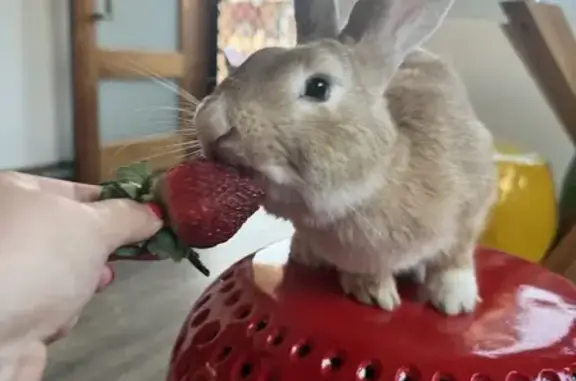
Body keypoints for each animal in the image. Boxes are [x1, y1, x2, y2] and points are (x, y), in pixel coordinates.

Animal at [195, 0, 500, 314]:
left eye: (318, 87)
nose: (211, 123)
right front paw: (374, 294)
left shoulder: (473, 205)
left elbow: (456, 255)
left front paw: (454, 301)